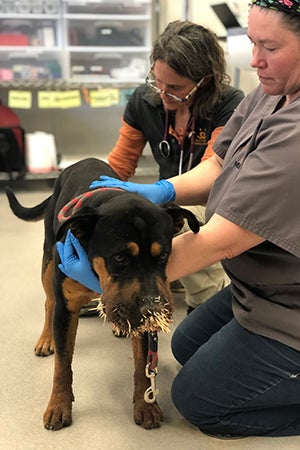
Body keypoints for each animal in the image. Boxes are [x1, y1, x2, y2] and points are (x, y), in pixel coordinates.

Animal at [5, 157, 199, 428]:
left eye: (163, 256)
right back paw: (46, 338)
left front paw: (146, 404)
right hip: (48, 260)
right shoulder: (66, 308)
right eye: (119, 257)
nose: (152, 307)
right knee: (48, 303)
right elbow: (62, 365)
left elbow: (142, 362)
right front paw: (58, 404)